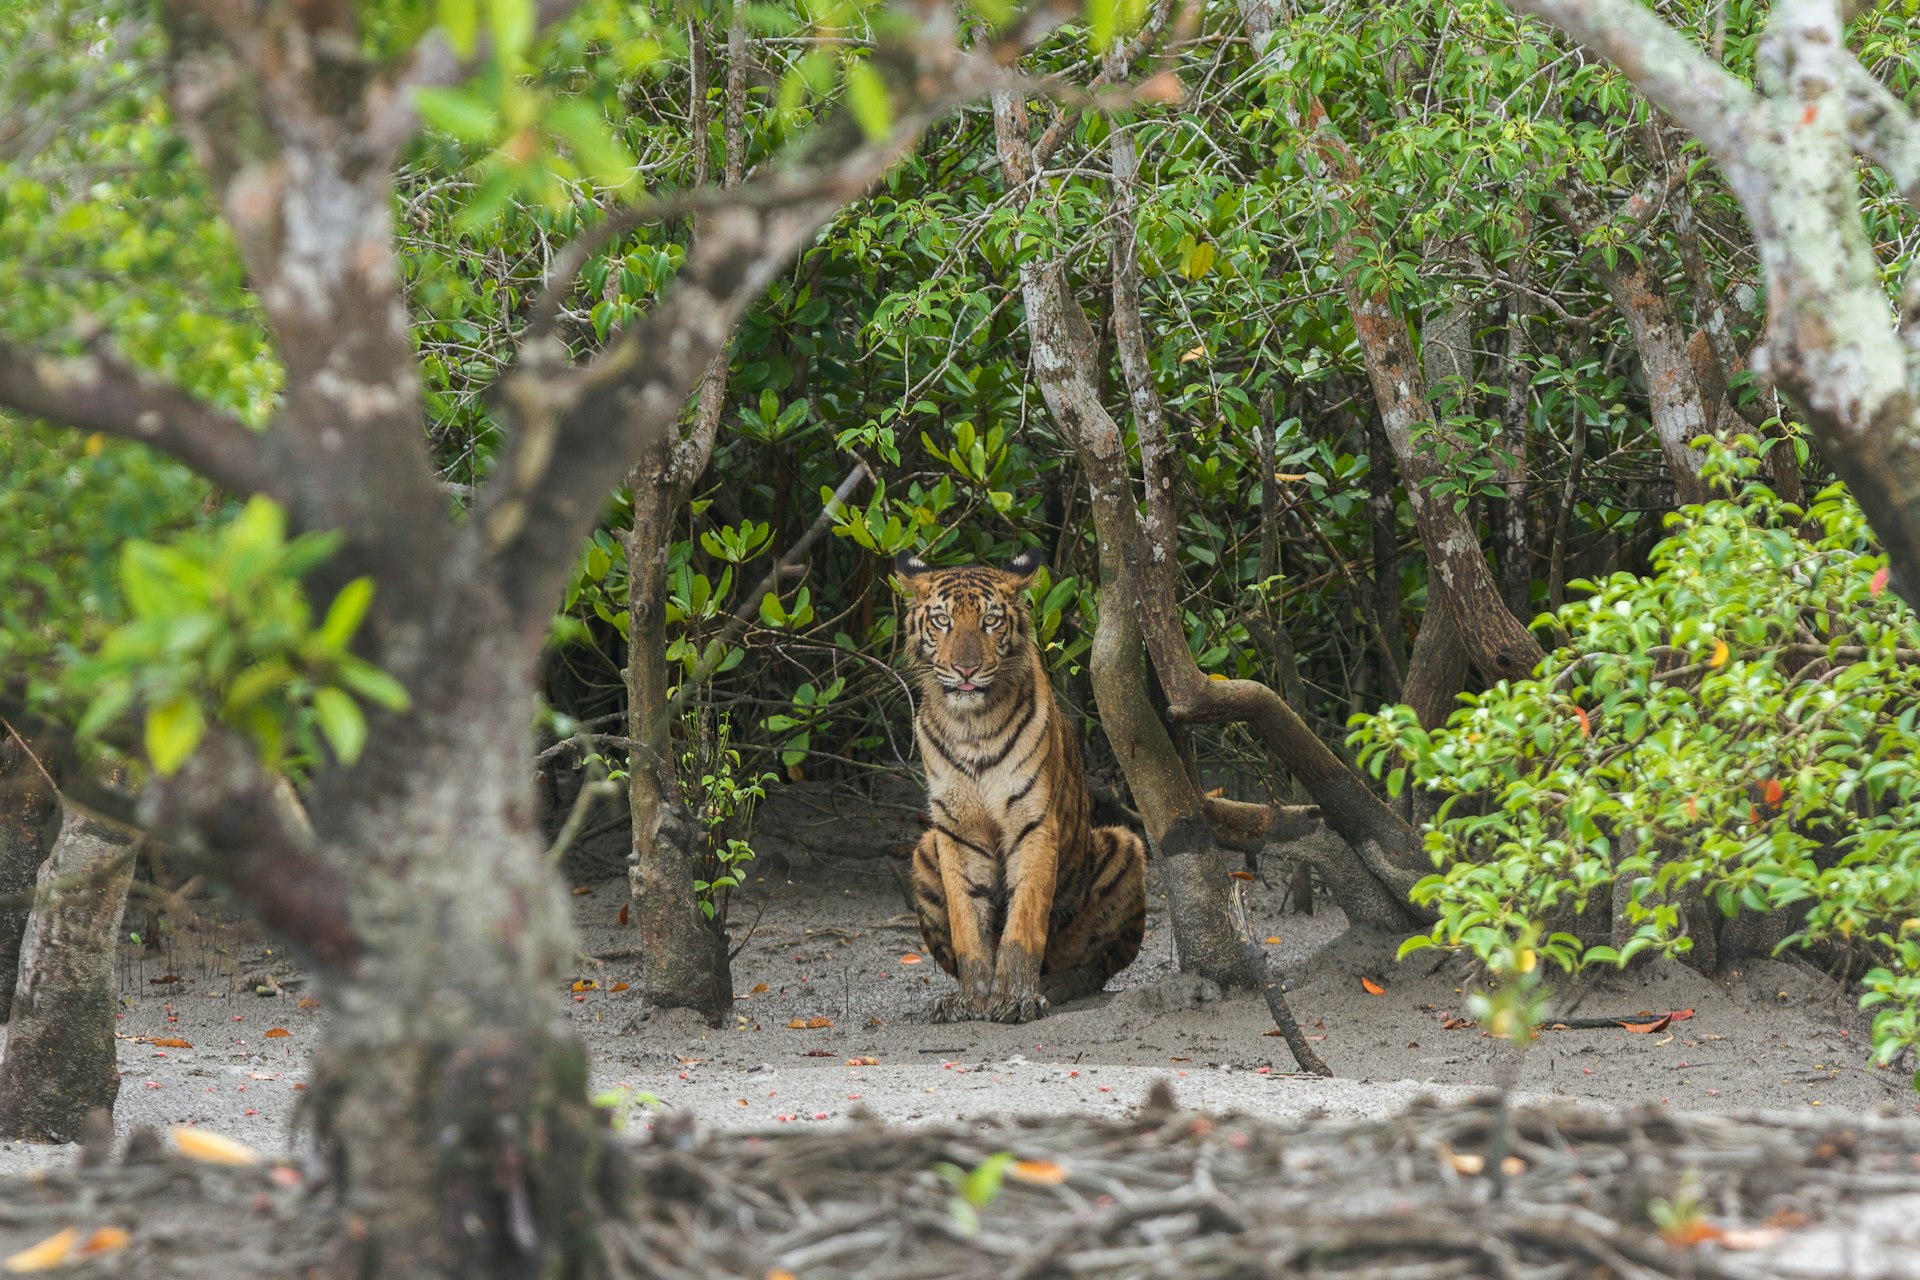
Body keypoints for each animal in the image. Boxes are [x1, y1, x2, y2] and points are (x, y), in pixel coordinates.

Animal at [894, 545, 1144, 1028]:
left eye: (990, 620)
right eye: (942, 621)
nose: (966, 669)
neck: (970, 724)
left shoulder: (1033, 823)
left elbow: (1024, 921)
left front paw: (1016, 998)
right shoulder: (956, 831)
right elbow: (968, 923)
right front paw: (971, 999)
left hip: (1124, 845)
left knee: (1099, 965)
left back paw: (1058, 984)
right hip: (924, 851)